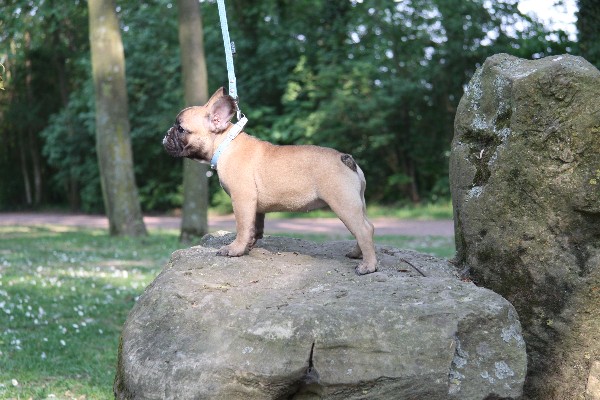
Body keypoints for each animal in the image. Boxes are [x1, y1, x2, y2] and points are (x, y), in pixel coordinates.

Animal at [163, 87, 377, 274]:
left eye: (180, 129)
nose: (166, 134)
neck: (225, 144)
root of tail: (346, 158)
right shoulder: (255, 207)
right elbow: (254, 227)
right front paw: (248, 246)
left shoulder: (242, 199)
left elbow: (242, 226)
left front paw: (235, 249)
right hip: (357, 202)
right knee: (368, 227)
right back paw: (358, 254)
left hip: (343, 203)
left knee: (363, 230)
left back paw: (368, 266)